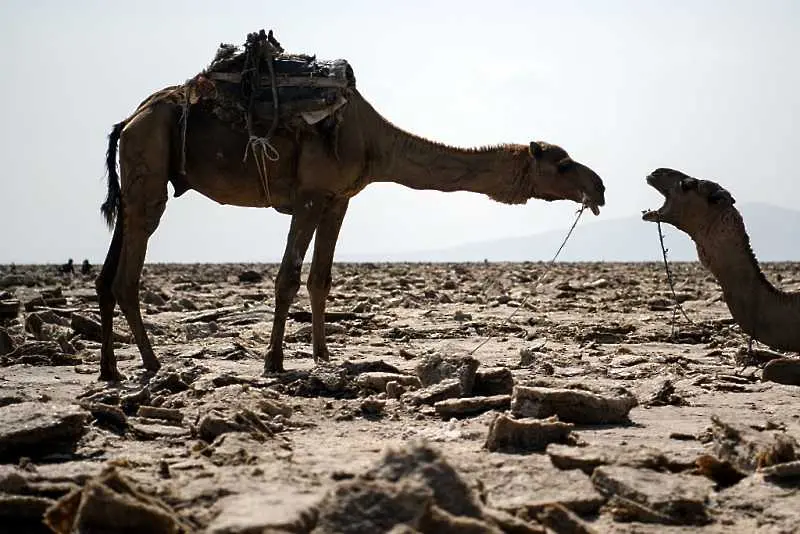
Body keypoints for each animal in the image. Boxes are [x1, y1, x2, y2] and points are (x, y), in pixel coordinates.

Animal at [97, 84, 604, 384]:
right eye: (562, 163)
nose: (598, 186)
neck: (375, 141)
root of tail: (128, 120)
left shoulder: (339, 199)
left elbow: (320, 278)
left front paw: (322, 353)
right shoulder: (309, 194)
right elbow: (287, 278)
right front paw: (274, 361)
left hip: (138, 179)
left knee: (106, 276)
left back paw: (110, 370)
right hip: (149, 163)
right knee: (128, 272)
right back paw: (151, 363)